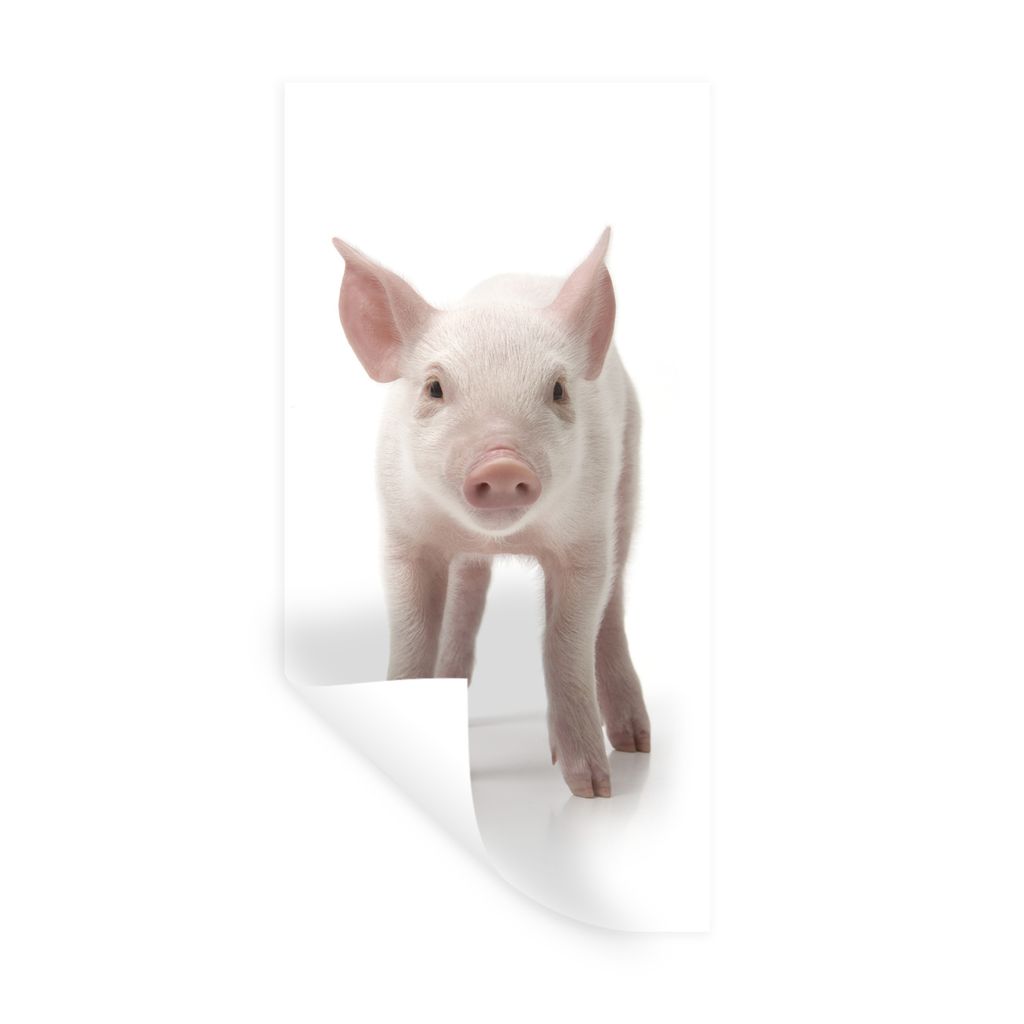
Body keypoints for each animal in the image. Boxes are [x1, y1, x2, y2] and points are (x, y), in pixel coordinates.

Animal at [332, 229, 650, 798]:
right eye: (435, 387)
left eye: (558, 389)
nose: (502, 463)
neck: (504, 539)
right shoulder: (404, 536)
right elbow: (412, 636)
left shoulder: (586, 538)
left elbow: (565, 643)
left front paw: (593, 790)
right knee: (467, 598)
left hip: (628, 475)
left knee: (611, 609)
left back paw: (636, 744)